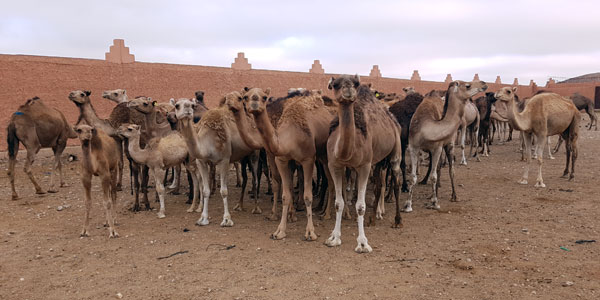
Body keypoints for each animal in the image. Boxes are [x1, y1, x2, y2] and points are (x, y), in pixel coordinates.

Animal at [324, 74, 404, 252]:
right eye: (335, 84)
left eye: (355, 83)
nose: (348, 90)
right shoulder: (335, 165)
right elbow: (338, 203)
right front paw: (334, 238)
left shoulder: (364, 166)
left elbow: (360, 206)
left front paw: (362, 243)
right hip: (378, 160)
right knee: (379, 185)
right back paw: (372, 219)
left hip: (395, 151)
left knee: (396, 181)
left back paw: (397, 220)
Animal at [400, 79, 486, 211]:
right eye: (467, 85)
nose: (484, 84)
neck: (426, 126)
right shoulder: (414, 147)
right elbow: (413, 177)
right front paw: (408, 205)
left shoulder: (437, 147)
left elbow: (434, 176)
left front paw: (435, 203)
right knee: (438, 167)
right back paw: (431, 193)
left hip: (449, 144)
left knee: (450, 169)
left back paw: (453, 195)